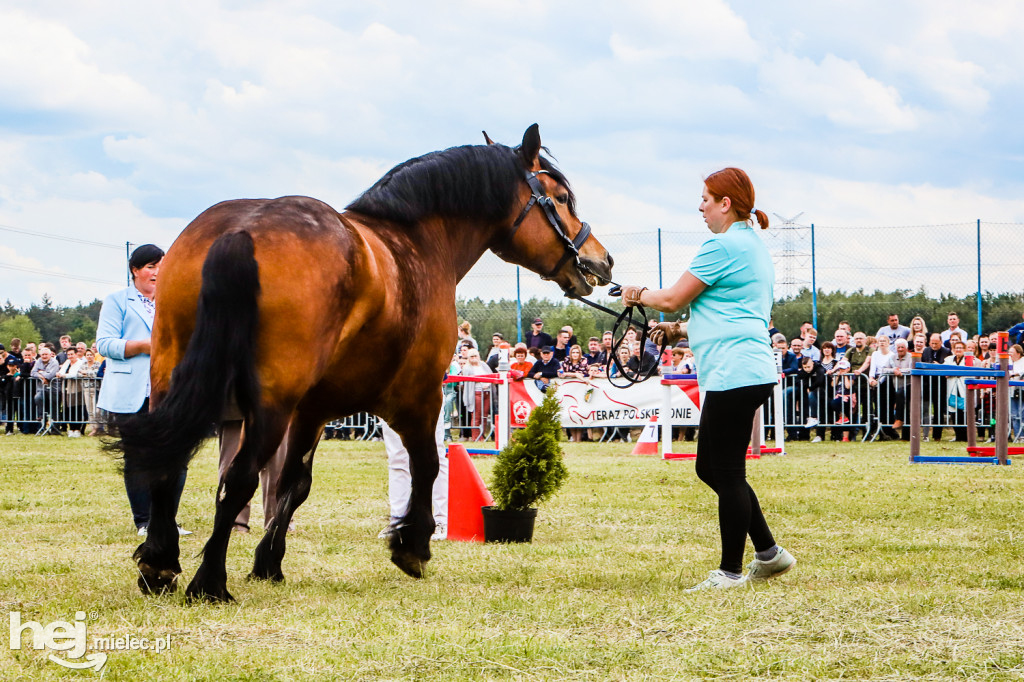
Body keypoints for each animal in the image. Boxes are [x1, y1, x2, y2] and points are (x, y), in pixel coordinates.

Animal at [117, 124, 614, 598]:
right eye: (561, 198)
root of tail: (241, 230)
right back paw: (209, 583)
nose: (601, 261)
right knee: (237, 478)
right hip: (271, 404)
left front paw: (269, 563)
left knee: (167, 465)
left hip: (171, 380)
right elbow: (427, 465)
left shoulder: (314, 410)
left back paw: (160, 564)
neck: (417, 243)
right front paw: (412, 545)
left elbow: (295, 483)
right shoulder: (419, 397)